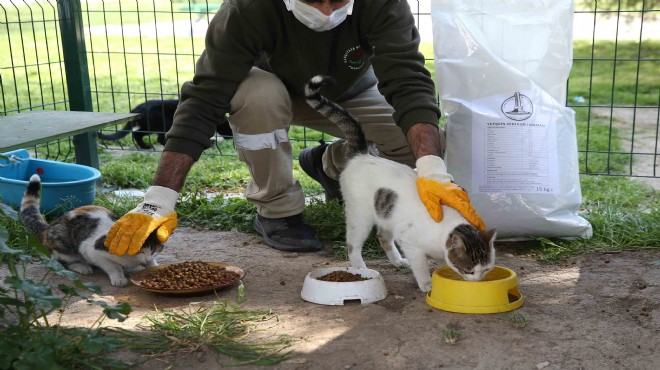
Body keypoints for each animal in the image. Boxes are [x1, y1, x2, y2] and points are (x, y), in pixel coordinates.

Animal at [20, 174, 162, 286]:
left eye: (154, 250)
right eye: (140, 251)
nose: (147, 258)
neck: (132, 260)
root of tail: (49, 227)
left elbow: (152, 264)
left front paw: (155, 267)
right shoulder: (92, 250)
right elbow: (113, 266)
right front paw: (119, 278)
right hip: (64, 243)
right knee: (62, 260)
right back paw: (81, 266)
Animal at [96, 99, 233, 150]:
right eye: (228, 128)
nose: (231, 136)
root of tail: (137, 108)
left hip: (148, 125)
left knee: (138, 134)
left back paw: (145, 146)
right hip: (162, 123)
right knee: (158, 137)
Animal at [304, 75, 496, 292]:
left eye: (486, 269)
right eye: (469, 271)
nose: (478, 281)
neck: (445, 230)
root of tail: (360, 155)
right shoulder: (410, 243)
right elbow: (420, 266)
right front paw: (427, 285)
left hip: (387, 214)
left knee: (383, 236)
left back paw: (396, 260)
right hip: (360, 216)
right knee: (353, 244)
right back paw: (360, 269)